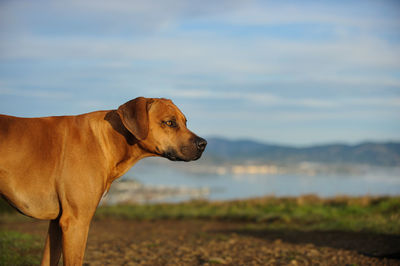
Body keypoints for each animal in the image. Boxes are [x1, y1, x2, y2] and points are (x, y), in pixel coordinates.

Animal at [0, 96, 206, 264]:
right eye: (170, 123)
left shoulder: (57, 223)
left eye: (185, 122)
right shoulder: (76, 222)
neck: (108, 139)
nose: (203, 144)